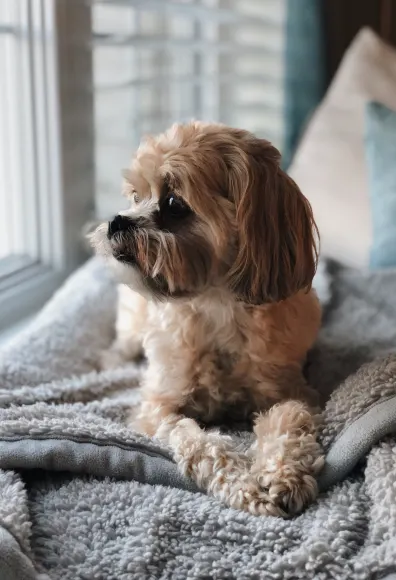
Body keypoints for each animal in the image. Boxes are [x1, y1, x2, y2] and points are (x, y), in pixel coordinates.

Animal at [92, 121, 324, 516]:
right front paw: (244, 485)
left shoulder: (293, 392)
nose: (116, 220)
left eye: (173, 204)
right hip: (133, 325)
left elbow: (290, 421)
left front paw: (284, 473)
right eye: (135, 196)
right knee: (122, 342)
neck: (217, 305)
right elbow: (199, 442)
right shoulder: (159, 408)